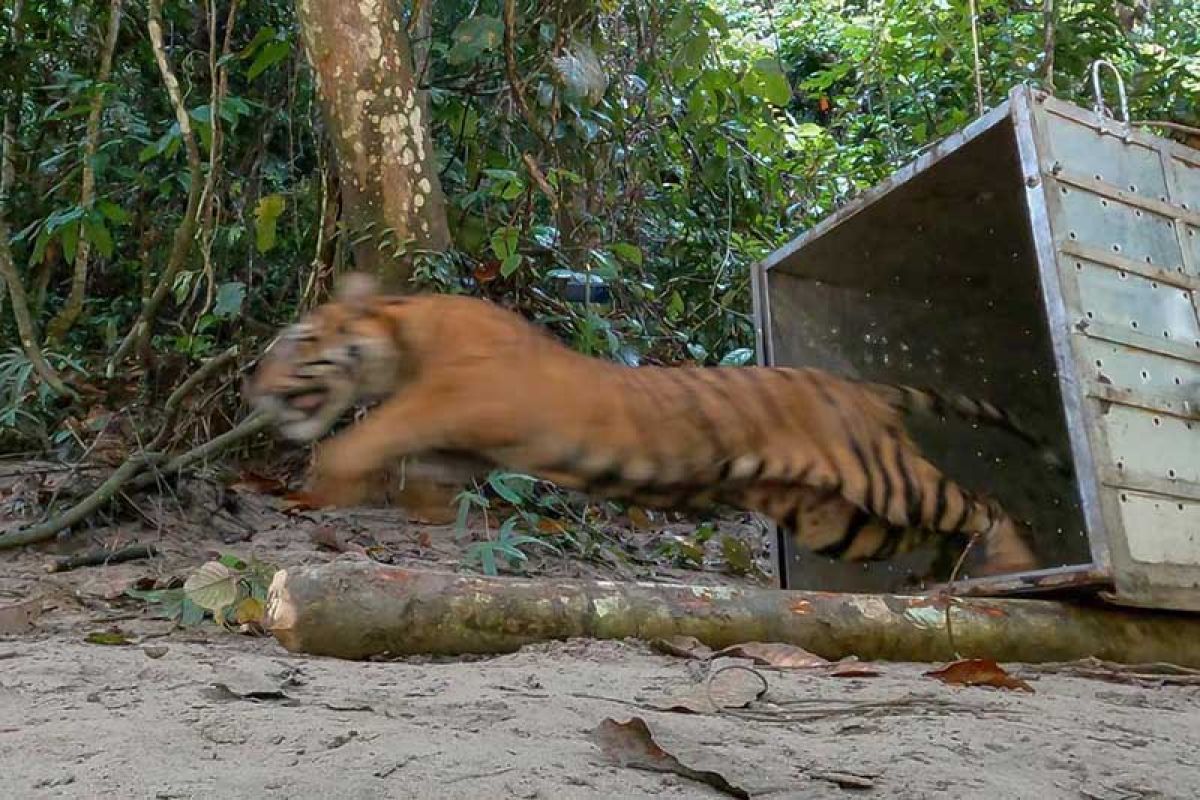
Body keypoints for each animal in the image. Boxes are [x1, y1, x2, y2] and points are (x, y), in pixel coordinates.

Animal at [248, 272, 1056, 578]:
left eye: (297, 340)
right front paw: (404, 505)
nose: (252, 381)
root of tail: (861, 387)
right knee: (943, 525)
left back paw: (1011, 565)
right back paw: (944, 575)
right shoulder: (456, 445)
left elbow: (369, 431)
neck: (399, 335)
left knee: (982, 502)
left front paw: (322, 482)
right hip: (841, 519)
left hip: (882, 479)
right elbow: (418, 474)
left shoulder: (454, 396)